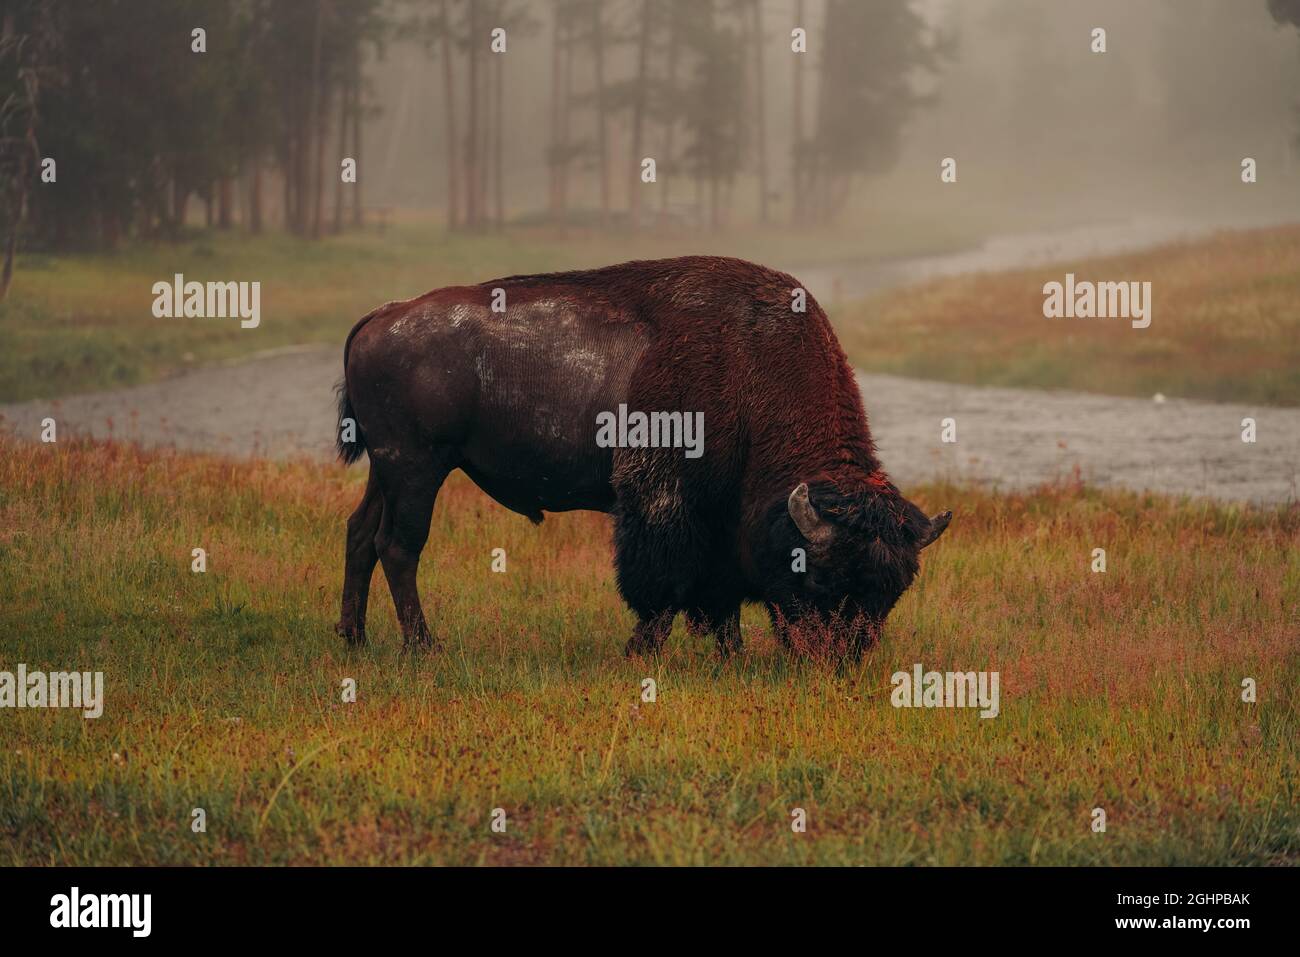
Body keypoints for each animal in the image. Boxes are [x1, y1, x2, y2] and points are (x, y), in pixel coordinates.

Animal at [330, 254, 951, 657]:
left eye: (890, 593)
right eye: (821, 578)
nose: (836, 659)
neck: (750, 372)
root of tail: (381, 316)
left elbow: (716, 592)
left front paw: (729, 651)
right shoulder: (666, 503)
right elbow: (663, 584)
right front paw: (642, 650)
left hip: (388, 470)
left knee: (360, 534)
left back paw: (354, 637)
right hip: (417, 466)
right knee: (398, 546)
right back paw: (422, 646)